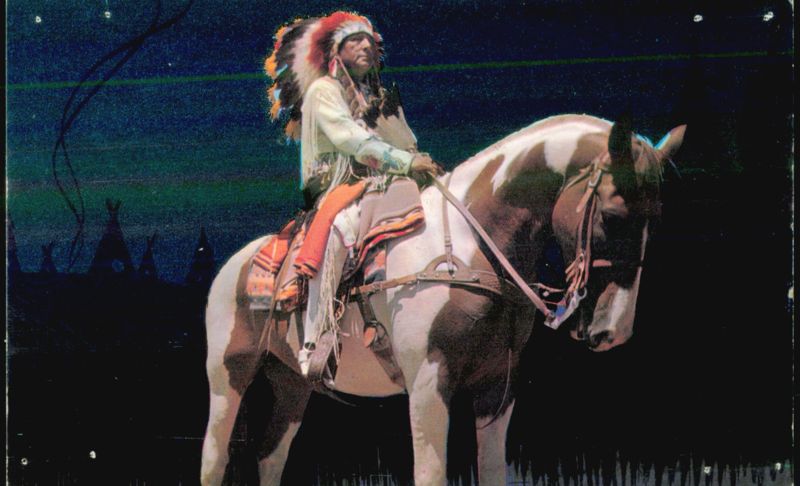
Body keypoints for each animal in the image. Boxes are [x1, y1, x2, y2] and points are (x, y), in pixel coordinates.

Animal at [200, 114, 685, 486]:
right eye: (612, 216)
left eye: (657, 221)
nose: (614, 330)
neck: (468, 248)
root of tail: (235, 265)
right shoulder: (429, 385)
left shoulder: (498, 388)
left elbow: (492, 473)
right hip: (228, 377)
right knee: (214, 458)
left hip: (291, 385)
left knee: (269, 458)